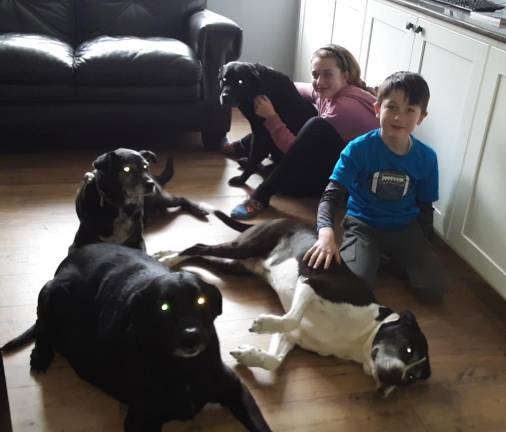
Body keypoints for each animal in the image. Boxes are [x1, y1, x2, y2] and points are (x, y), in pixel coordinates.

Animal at [1, 245, 272, 430]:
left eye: (201, 301)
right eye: (164, 307)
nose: (191, 337)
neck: (184, 369)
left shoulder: (236, 390)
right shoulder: (141, 419)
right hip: (51, 290)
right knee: (42, 326)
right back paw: (41, 355)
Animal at [69, 147, 208, 251]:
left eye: (146, 166)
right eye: (126, 169)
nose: (151, 184)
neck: (121, 207)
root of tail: (155, 177)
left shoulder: (137, 241)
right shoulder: (78, 243)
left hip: (159, 198)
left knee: (181, 199)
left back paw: (199, 210)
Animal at [157, 213, 430, 398]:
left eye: (412, 378)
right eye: (408, 350)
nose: (394, 380)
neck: (362, 335)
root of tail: (278, 218)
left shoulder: (293, 336)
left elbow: (274, 359)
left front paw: (248, 355)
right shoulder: (312, 283)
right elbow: (290, 317)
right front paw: (263, 323)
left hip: (236, 266)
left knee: (202, 255)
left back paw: (168, 258)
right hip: (243, 247)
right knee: (199, 246)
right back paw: (169, 259)